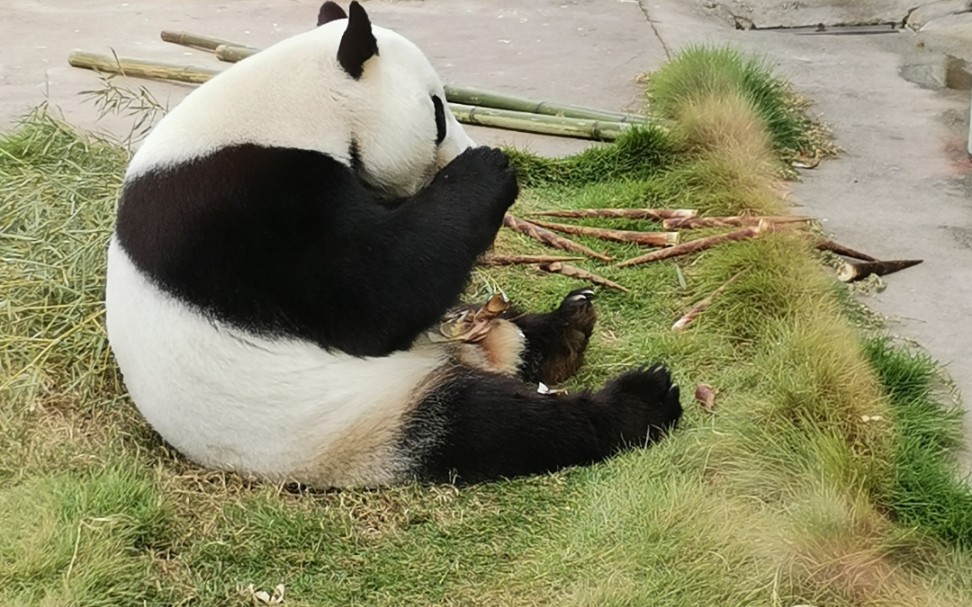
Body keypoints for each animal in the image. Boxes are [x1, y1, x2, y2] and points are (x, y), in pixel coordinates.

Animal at [104, 0, 684, 490]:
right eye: (437, 113)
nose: (466, 148)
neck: (287, 106)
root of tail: (465, 358)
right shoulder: (240, 211)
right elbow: (370, 294)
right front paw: (488, 169)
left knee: (504, 338)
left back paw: (566, 329)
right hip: (355, 422)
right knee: (487, 425)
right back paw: (639, 401)